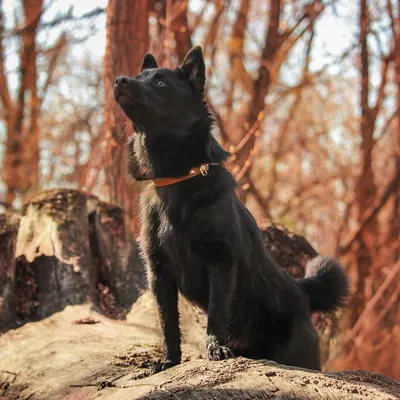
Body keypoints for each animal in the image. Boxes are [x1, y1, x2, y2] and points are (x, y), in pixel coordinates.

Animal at [114, 46, 348, 372]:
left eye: (161, 82)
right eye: (140, 76)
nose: (119, 80)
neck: (178, 179)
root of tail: (301, 290)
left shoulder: (220, 261)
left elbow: (216, 312)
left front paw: (216, 349)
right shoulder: (159, 273)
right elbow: (167, 323)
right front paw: (169, 361)